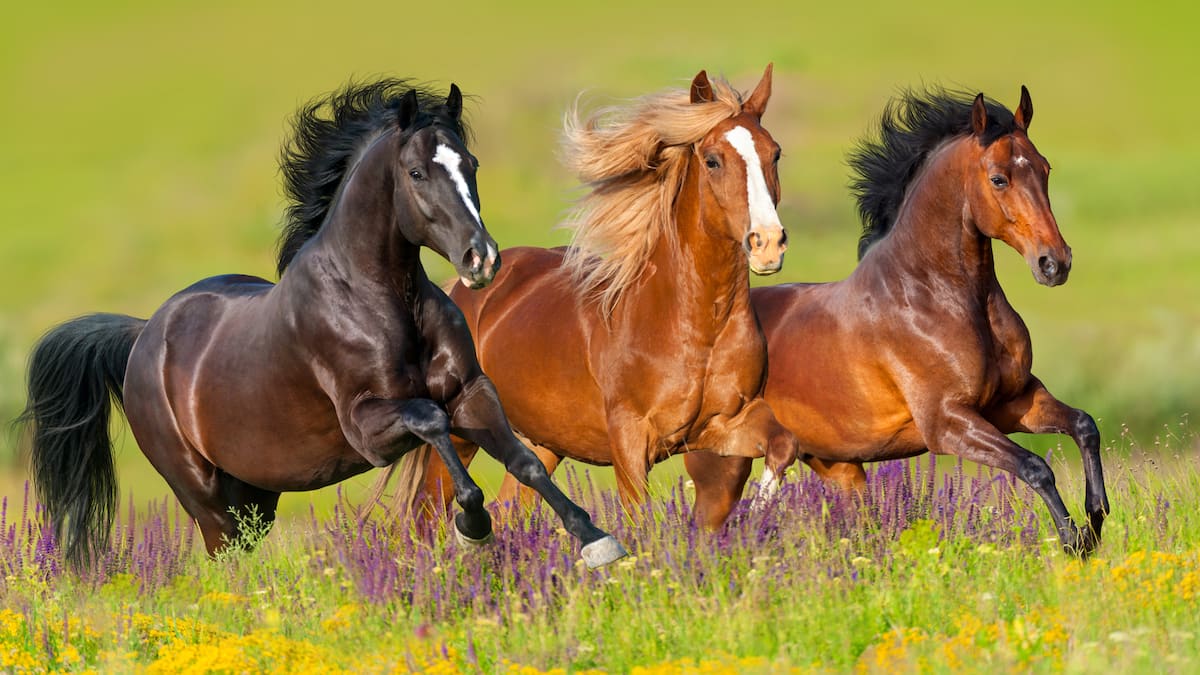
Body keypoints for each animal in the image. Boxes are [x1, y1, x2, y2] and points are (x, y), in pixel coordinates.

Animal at [18, 78, 626, 570]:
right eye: (416, 172)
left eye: (471, 165)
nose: (482, 260)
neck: (382, 301)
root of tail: (144, 336)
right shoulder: (369, 427)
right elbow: (432, 421)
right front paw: (473, 527)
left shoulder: (472, 393)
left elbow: (526, 462)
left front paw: (597, 541)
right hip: (204, 496)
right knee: (225, 561)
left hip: (255, 496)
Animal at [389, 66, 800, 526]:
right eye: (713, 160)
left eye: (774, 154)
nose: (767, 243)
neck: (695, 326)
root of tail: (457, 289)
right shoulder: (630, 440)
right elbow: (639, 518)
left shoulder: (725, 424)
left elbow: (783, 445)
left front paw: (753, 516)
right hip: (462, 433)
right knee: (427, 515)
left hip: (541, 443)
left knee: (511, 506)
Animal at [684, 86, 1110, 555]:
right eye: (999, 178)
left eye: (1044, 169)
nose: (1054, 263)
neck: (934, 297)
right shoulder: (948, 424)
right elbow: (1035, 466)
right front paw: (1074, 542)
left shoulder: (1013, 402)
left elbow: (1084, 426)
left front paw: (1096, 518)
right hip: (722, 466)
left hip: (839, 467)